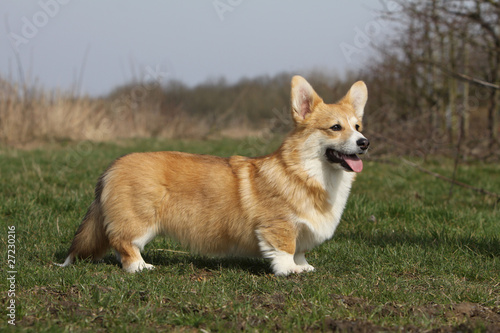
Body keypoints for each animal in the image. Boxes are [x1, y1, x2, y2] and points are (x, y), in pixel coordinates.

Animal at [59, 75, 372, 274]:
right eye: (335, 127)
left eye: (357, 126)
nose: (364, 142)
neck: (309, 173)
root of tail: (112, 167)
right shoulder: (278, 226)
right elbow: (284, 250)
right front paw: (290, 271)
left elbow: (300, 250)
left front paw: (304, 267)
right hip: (139, 220)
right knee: (124, 245)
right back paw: (140, 267)